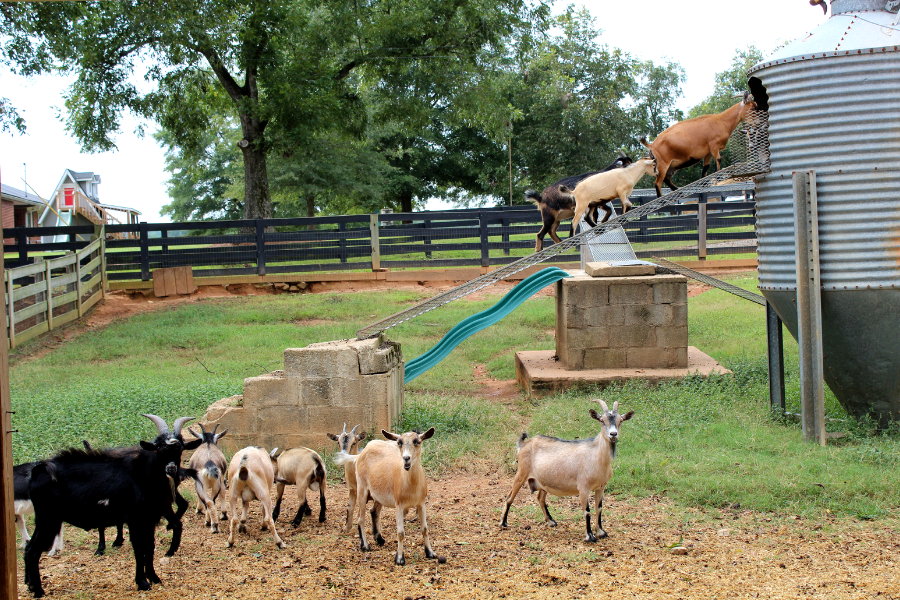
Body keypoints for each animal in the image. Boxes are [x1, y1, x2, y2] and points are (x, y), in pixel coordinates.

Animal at [23, 414, 201, 596]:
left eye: (180, 449)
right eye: (158, 449)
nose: (171, 469)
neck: (144, 475)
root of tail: (38, 471)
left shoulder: (149, 520)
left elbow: (150, 547)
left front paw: (154, 577)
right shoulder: (135, 519)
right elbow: (139, 549)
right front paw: (142, 582)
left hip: (43, 520)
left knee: (28, 548)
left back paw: (30, 586)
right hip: (49, 519)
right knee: (33, 551)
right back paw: (38, 591)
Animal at [334, 428, 442, 564]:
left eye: (417, 441)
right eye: (399, 442)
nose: (406, 458)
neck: (410, 484)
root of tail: (360, 454)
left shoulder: (421, 504)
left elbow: (425, 529)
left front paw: (430, 553)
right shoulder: (399, 505)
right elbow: (400, 533)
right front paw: (399, 558)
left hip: (378, 495)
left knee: (374, 512)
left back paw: (379, 540)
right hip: (361, 489)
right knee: (360, 518)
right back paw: (365, 546)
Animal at [500, 398, 632, 544]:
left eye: (621, 421)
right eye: (602, 420)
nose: (613, 434)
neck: (597, 457)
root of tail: (524, 444)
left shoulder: (601, 487)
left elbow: (599, 508)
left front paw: (601, 532)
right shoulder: (583, 487)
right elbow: (587, 511)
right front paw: (590, 536)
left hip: (542, 481)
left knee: (540, 498)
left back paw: (551, 522)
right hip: (522, 472)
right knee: (509, 497)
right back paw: (503, 523)